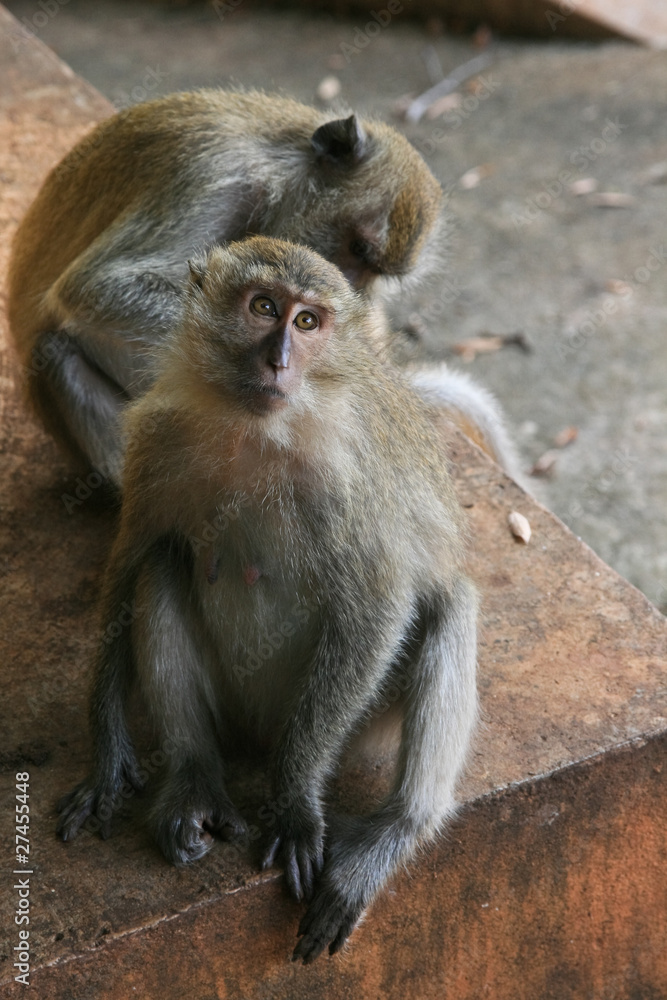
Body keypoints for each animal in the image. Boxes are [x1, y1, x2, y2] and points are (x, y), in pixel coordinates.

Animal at [8, 88, 521, 488]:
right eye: (357, 249)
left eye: (378, 273)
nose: (350, 297)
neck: (278, 171)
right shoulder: (214, 173)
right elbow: (101, 286)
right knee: (56, 352)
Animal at [56, 237, 478, 964]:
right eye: (262, 307)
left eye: (308, 322)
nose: (279, 359)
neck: (252, 426)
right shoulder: (156, 438)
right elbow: (130, 561)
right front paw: (107, 750)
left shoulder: (348, 477)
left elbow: (377, 605)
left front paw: (296, 799)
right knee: (161, 564)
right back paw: (192, 777)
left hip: (360, 723)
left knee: (448, 606)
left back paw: (397, 828)